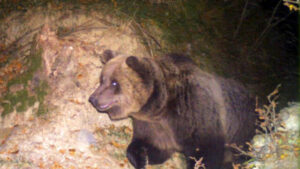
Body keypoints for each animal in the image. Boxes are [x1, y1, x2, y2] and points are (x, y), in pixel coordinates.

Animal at [88, 50, 255, 169]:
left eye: (114, 83)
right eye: (102, 79)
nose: (93, 98)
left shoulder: (198, 117)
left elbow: (206, 154)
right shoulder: (155, 127)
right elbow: (152, 146)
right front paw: (142, 157)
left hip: (241, 133)